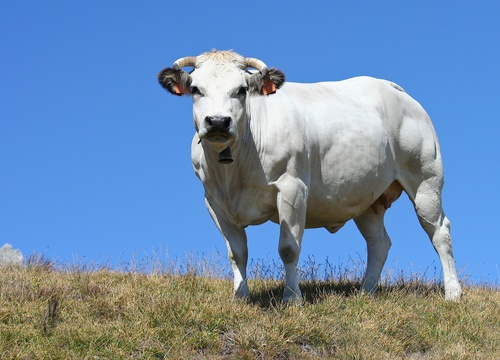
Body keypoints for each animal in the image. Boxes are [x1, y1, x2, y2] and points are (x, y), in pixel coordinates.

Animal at [158, 48, 462, 300]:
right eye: (195, 89)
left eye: (242, 89)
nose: (219, 121)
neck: (234, 171)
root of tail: (394, 89)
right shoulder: (214, 201)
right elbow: (237, 252)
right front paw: (240, 297)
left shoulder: (292, 188)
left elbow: (288, 248)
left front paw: (292, 297)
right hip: (367, 198)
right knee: (379, 243)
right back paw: (366, 292)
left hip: (425, 180)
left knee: (438, 231)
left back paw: (452, 292)